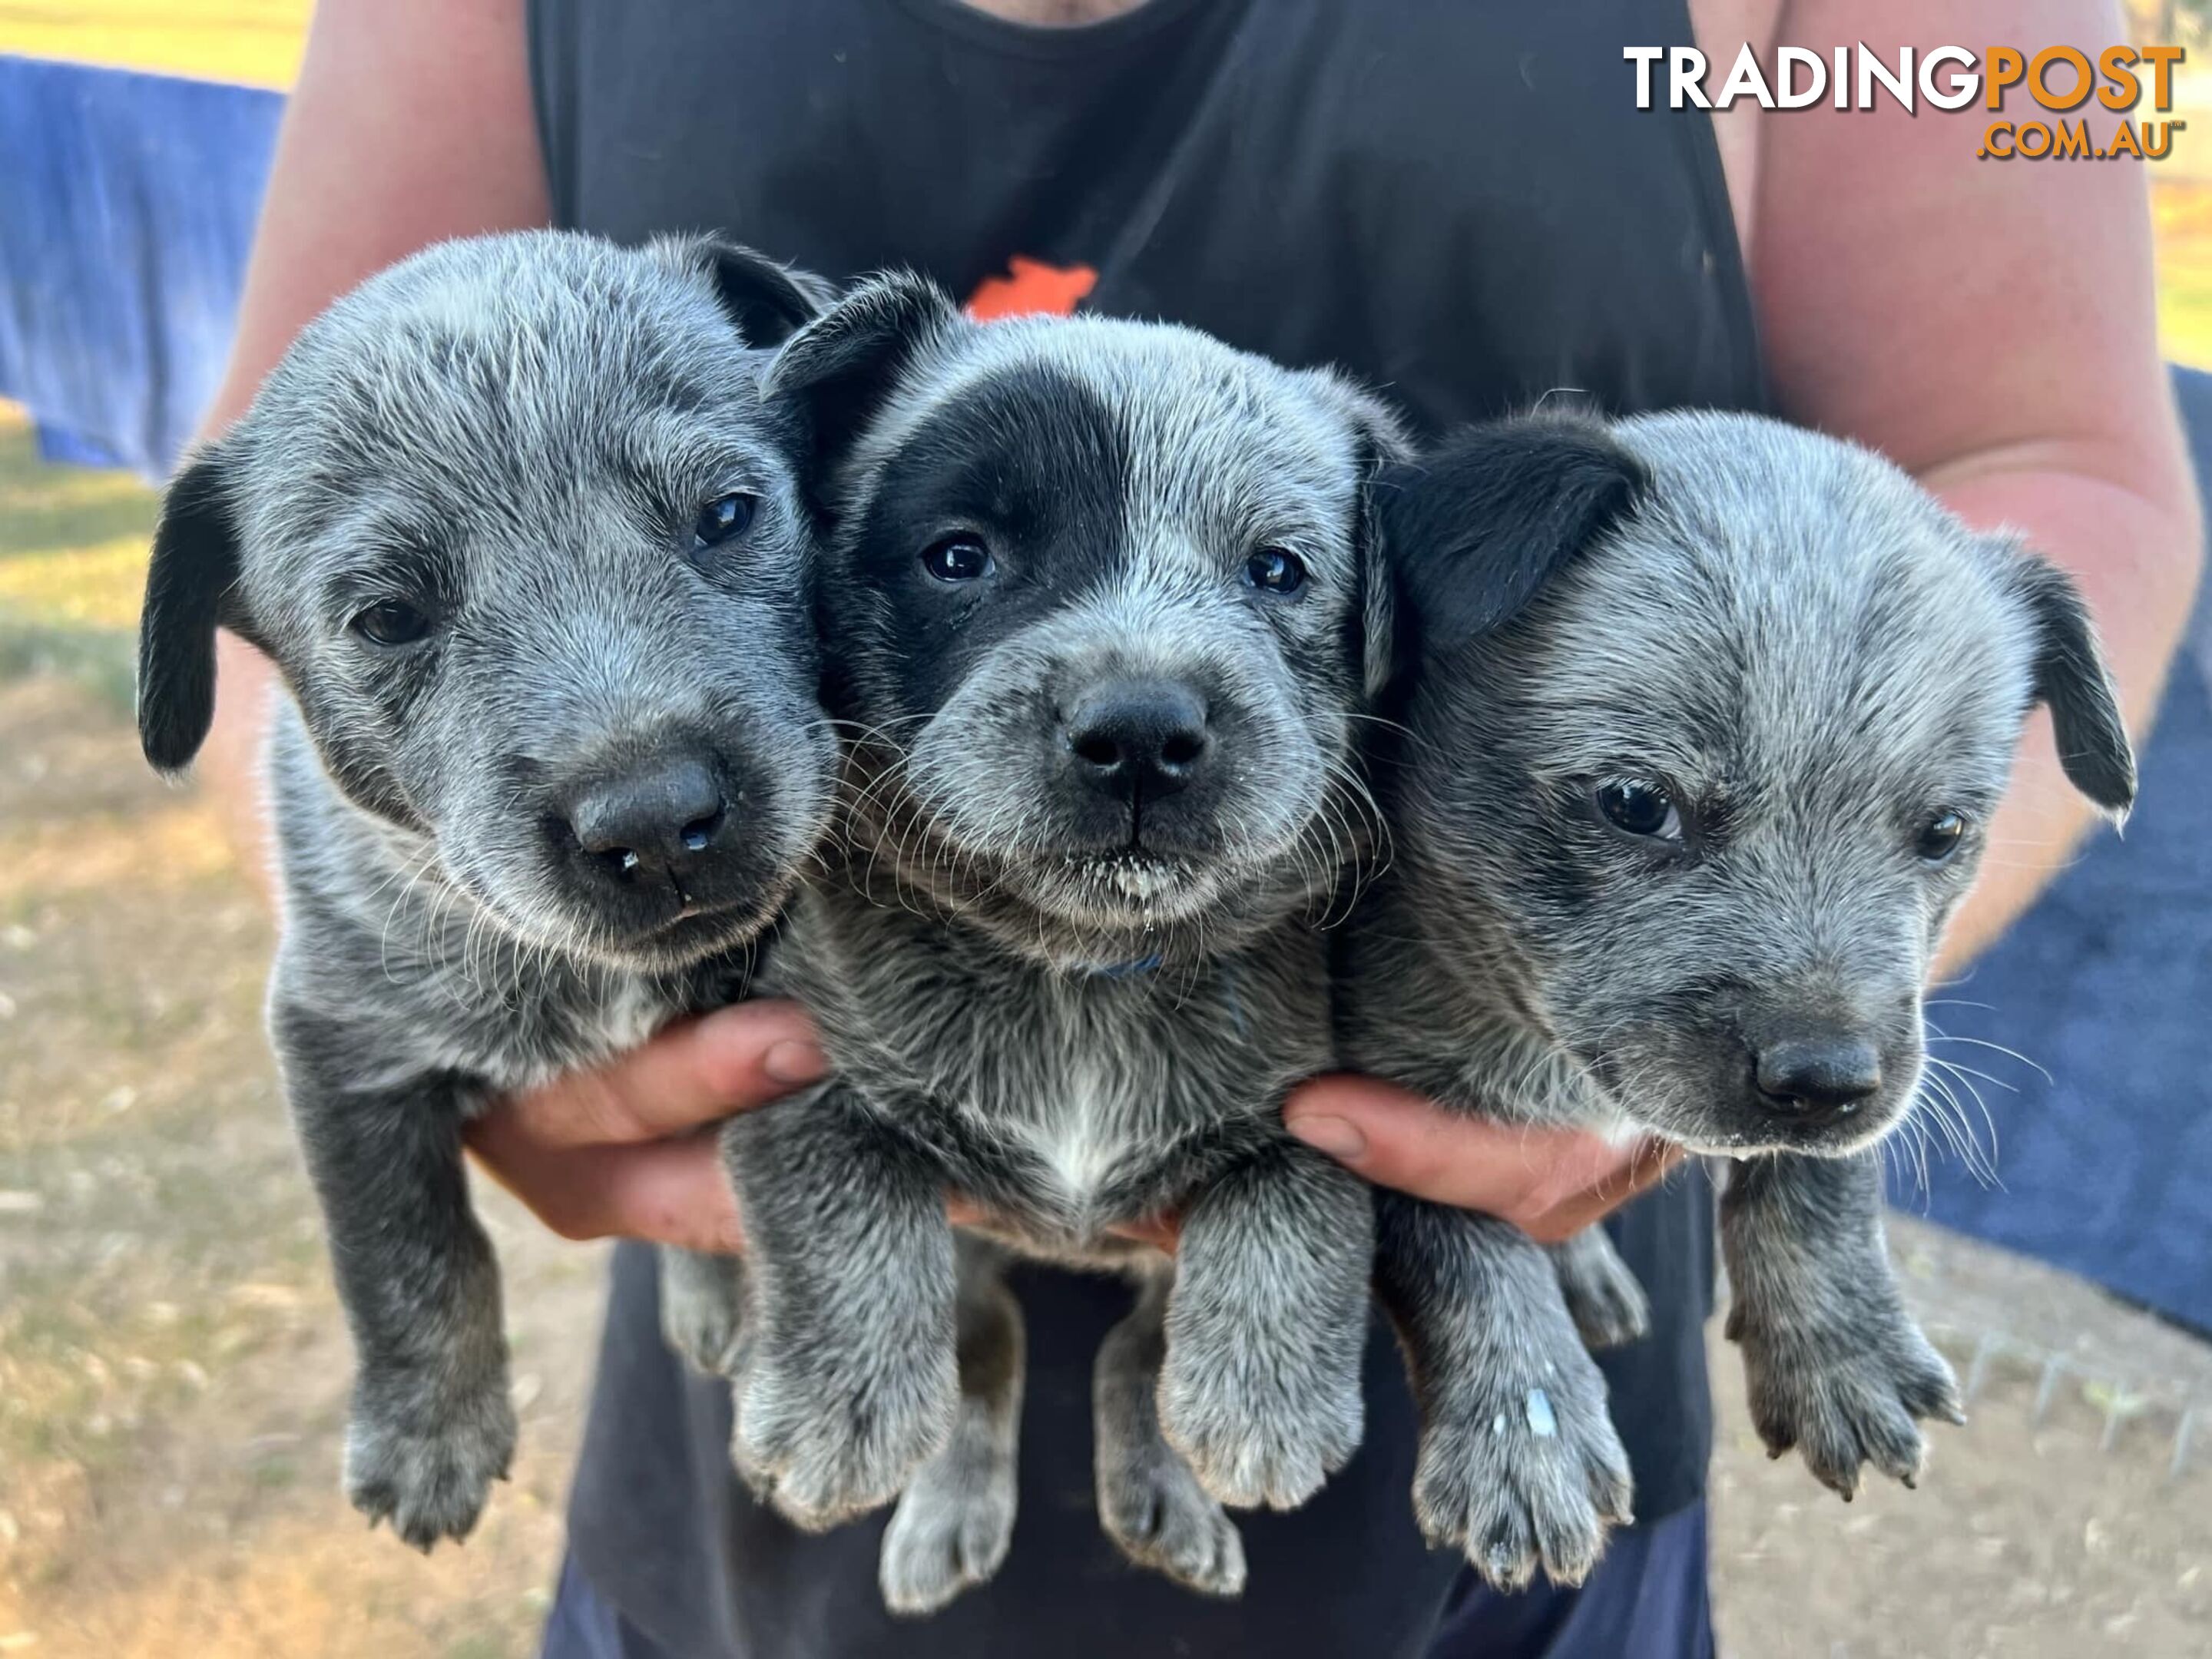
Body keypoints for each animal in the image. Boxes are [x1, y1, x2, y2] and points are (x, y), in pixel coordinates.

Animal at [131, 234, 836, 1557]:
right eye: (389, 618)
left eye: (728, 514)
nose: (655, 821)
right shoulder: (341, 1041)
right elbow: (402, 1245)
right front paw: (427, 1437)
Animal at [664, 280, 1406, 1619]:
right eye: (960, 556)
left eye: (1278, 571)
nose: (1144, 731)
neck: (1080, 971)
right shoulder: (795, 1058)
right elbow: (852, 1196)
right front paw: (838, 1413)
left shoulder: (1324, 1095)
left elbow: (1290, 1194)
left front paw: (1260, 1399)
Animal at [1336, 413, 2132, 1601]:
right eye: (1636, 804)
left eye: (1945, 832)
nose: (1825, 1082)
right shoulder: (1364, 1077)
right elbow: (1461, 1237)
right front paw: (1525, 1430)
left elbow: (1824, 1168)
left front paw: (1840, 1347)